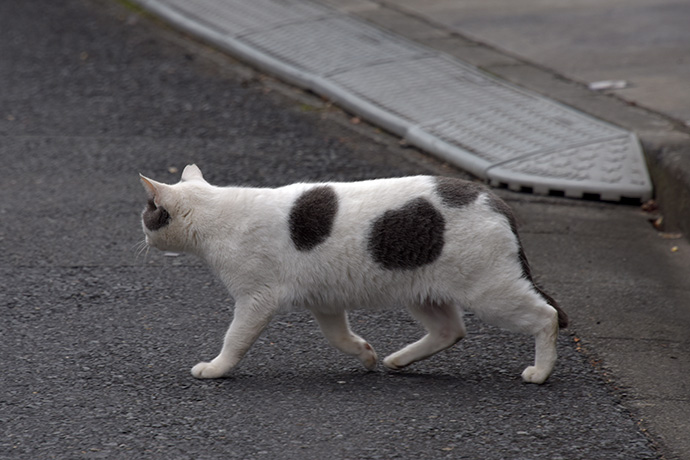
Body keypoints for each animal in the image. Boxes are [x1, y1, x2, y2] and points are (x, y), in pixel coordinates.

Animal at [138, 165, 564, 384]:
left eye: (146, 215)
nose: (139, 233)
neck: (216, 215)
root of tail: (496, 200)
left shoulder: (256, 300)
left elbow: (235, 339)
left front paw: (215, 369)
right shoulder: (325, 302)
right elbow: (340, 338)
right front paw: (365, 354)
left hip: (490, 293)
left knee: (547, 316)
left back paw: (540, 372)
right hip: (423, 292)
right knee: (451, 331)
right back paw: (397, 361)